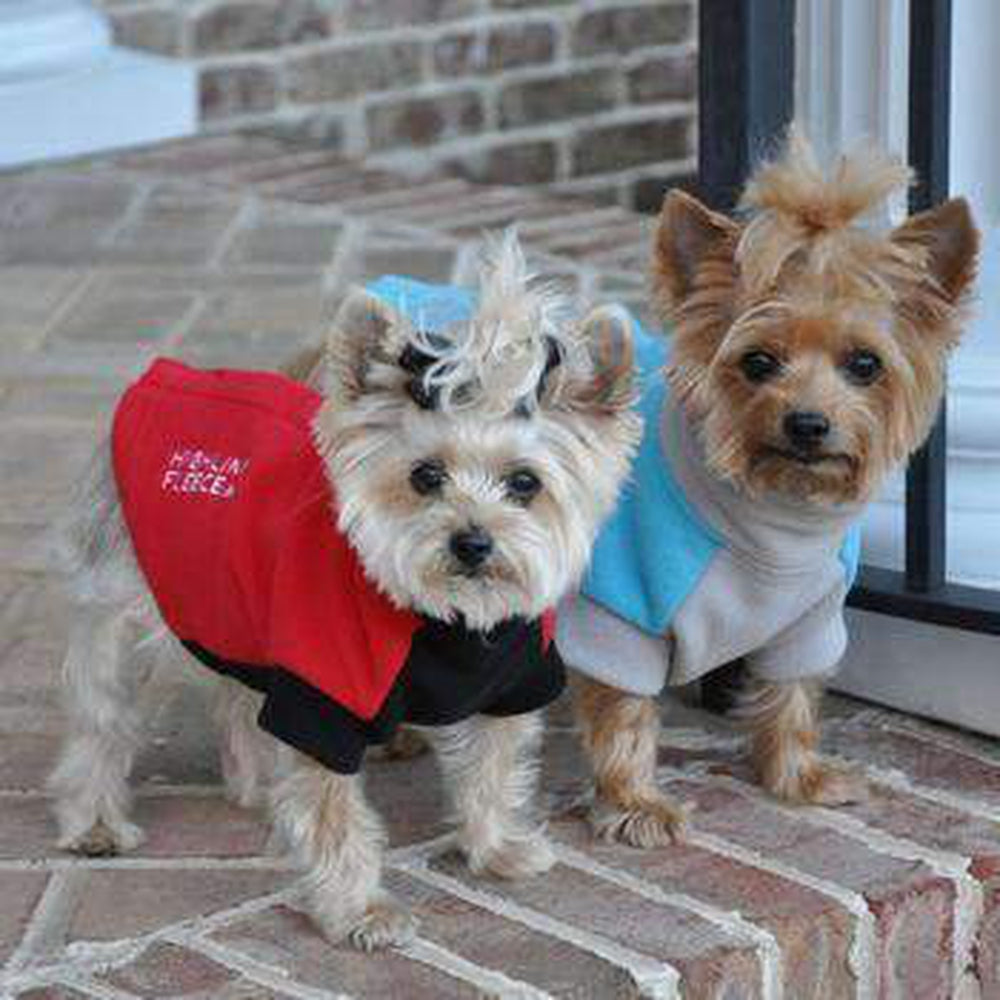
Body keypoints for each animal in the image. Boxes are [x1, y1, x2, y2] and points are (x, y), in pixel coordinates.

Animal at [48, 232, 640, 944]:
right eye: (425, 476)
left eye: (524, 483)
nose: (471, 543)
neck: (442, 621)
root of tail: (167, 378)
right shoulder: (325, 695)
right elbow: (337, 819)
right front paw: (358, 909)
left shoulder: (510, 686)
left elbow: (493, 774)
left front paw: (497, 848)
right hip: (123, 609)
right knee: (100, 723)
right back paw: (94, 821)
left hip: (238, 613)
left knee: (235, 699)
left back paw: (254, 784)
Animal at [560, 129, 980, 848]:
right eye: (757, 362)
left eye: (864, 364)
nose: (808, 423)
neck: (769, 517)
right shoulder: (622, 611)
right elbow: (625, 715)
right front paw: (635, 803)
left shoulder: (810, 615)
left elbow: (794, 695)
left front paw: (798, 776)